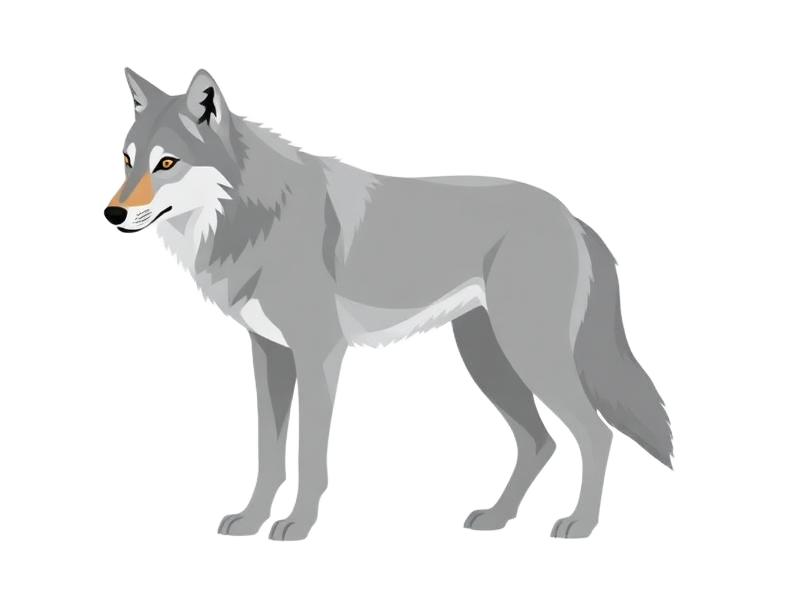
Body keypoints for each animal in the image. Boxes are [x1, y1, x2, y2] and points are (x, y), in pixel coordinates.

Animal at [104, 68, 672, 541]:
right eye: (128, 161)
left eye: (167, 163)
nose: (112, 214)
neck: (257, 215)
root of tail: (570, 215)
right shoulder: (270, 356)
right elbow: (270, 455)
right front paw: (250, 520)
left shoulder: (319, 355)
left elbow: (309, 458)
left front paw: (297, 524)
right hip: (490, 363)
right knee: (540, 443)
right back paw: (496, 517)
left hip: (530, 359)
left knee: (595, 435)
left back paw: (580, 524)